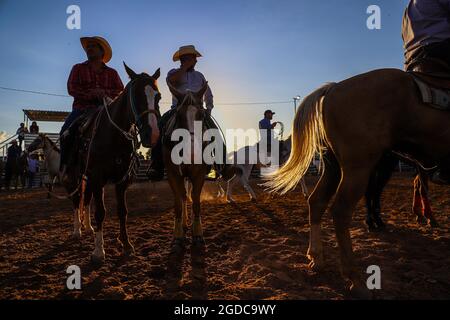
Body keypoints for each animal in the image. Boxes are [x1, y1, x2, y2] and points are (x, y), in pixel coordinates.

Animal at [164, 82, 212, 245]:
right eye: (178, 115)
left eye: (202, 116)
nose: (191, 154)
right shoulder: (173, 174)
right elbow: (178, 203)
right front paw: (178, 234)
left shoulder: (199, 173)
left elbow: (196, 201)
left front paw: (197, 232)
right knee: (183, 196)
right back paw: (184, 224)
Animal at [266, 69, 450, 298]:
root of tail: (333, 88)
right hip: (359, 168)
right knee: (341, 210)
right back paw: (356, 279)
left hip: (334, 167)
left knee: (317, 201)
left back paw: (317, 258)